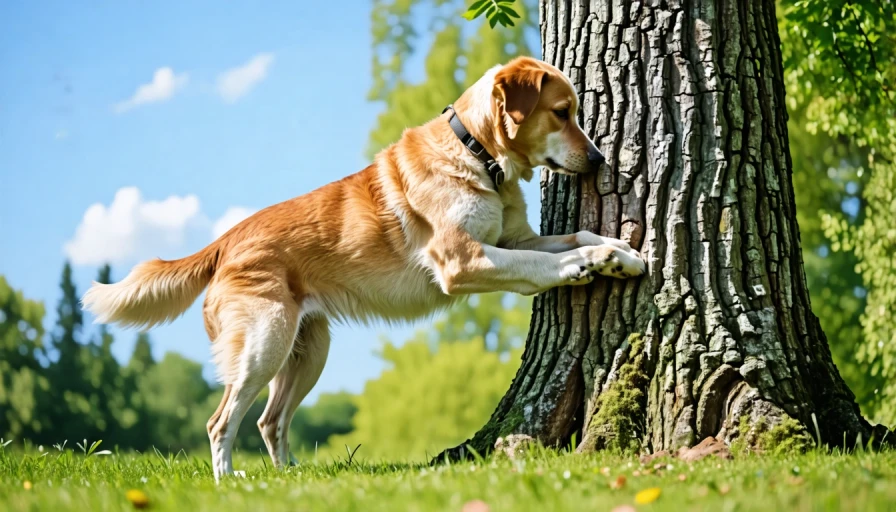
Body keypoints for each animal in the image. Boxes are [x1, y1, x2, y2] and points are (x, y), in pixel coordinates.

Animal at [82, 57, 644, 480]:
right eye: (562, 112)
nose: (600, 160)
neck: (477, 155)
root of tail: (225, 240)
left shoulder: (512, 239)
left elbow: (572, 238)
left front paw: (621, 251)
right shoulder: (465, 259)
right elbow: (546, 261)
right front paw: (591, 263)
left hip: (307, 351)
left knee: (269, 422)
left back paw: (286, 479)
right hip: (263, 345)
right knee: (221, 423)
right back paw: (229, 482)